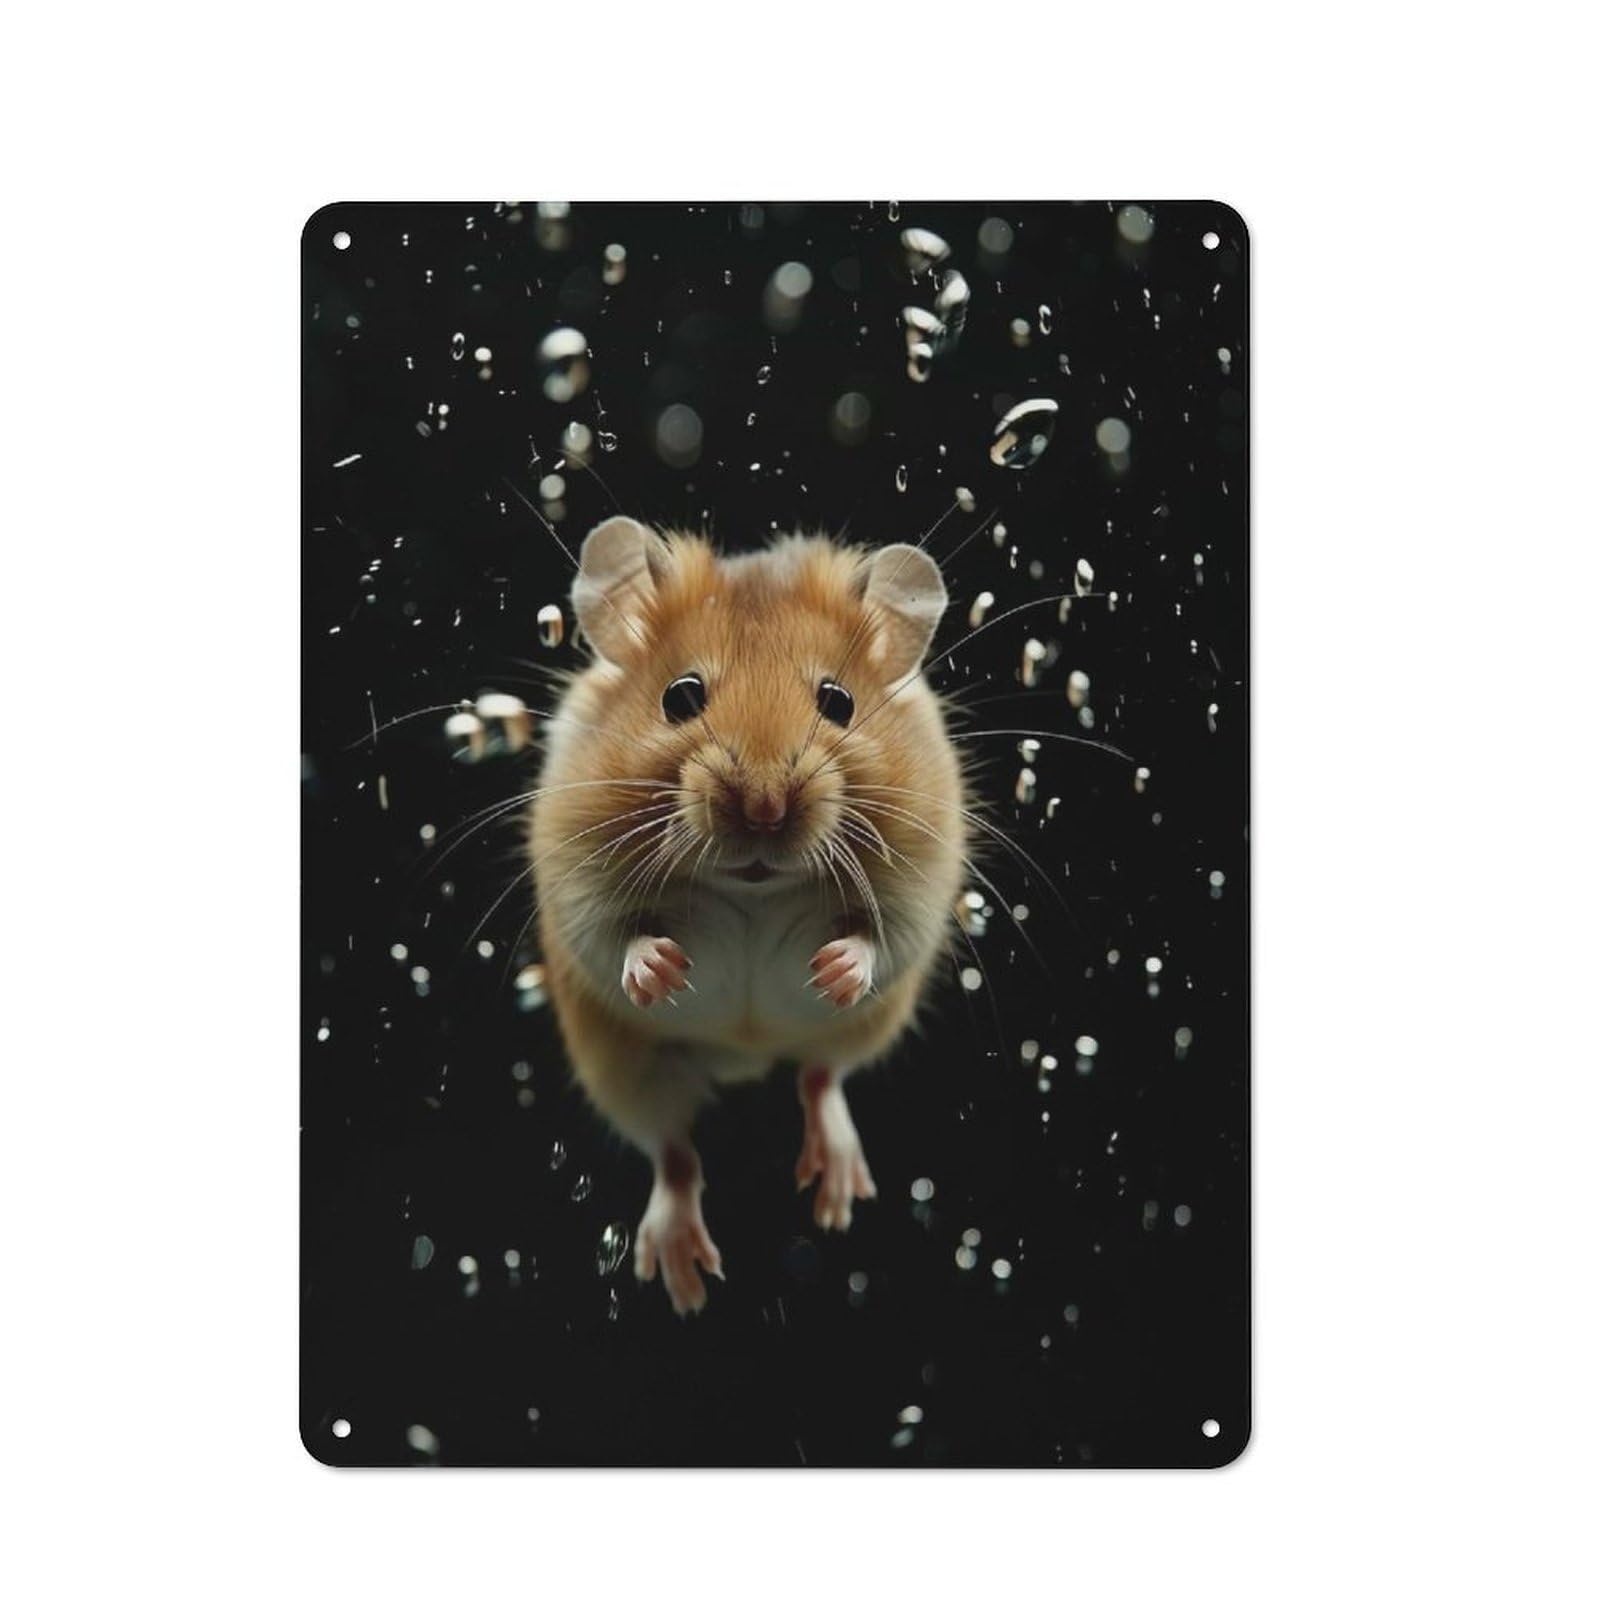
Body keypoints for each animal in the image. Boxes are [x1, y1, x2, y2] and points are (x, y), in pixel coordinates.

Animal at [529, 516, 966, 1314]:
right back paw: (684, 1279)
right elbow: (617, 935)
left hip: (860, 1031)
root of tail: (745, 1056)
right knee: (673, 1153)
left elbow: (878, 937)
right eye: (680, 697)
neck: (754, 886)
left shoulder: (923, 872)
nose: (765, 808)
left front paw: (830, 969)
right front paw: (665, 971)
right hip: (624, 1067)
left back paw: (837, 1196)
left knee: (821, 1076)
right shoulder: (571, 869)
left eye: (838, 701)